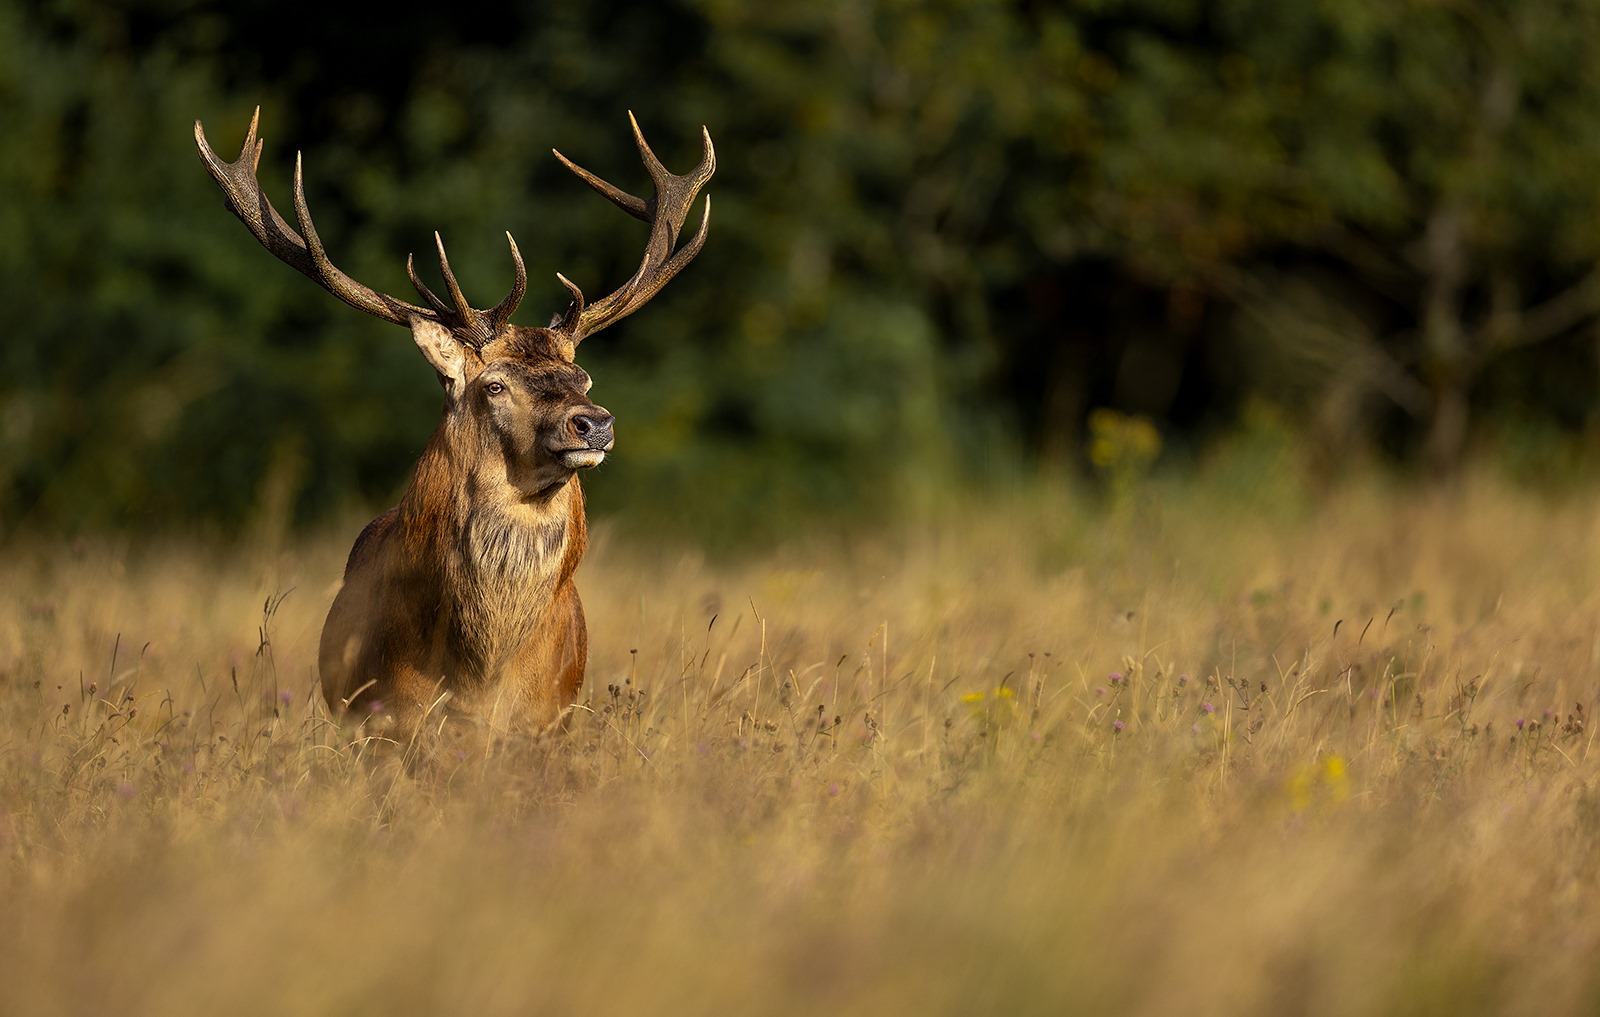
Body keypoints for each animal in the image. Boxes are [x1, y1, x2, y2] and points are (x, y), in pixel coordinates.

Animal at [194, 108, 713, 740]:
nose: (594, 423)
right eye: (494, 385)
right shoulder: (391, 721)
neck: (481, 676)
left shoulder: (549, 719)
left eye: (583, 377)